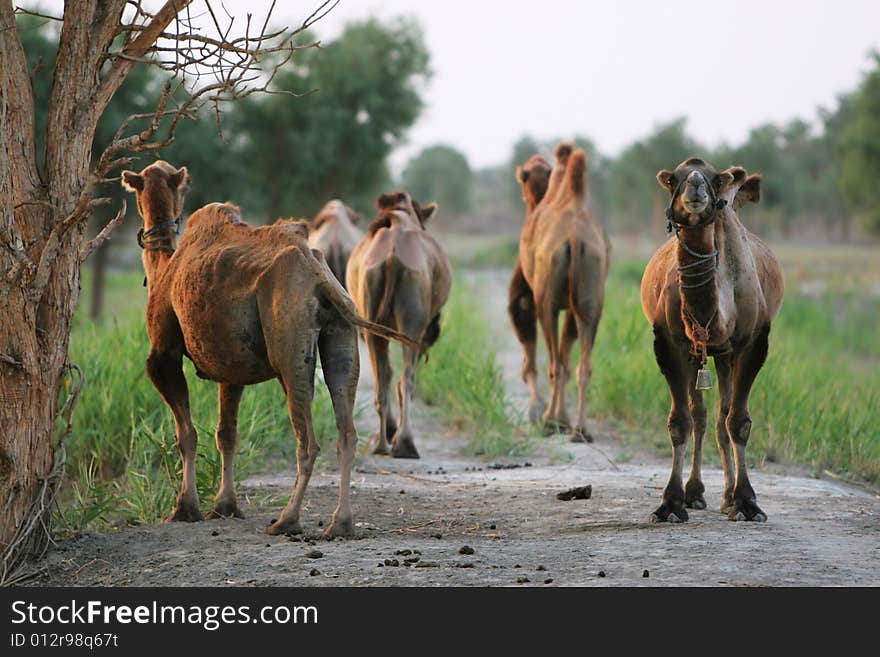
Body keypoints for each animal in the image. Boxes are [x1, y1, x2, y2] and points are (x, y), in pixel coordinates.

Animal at [120, 160, 420, 540]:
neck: (164, 268)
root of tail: (317, 275)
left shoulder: (163, 355)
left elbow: (186, 433)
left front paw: (185, 509)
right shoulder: (229, 366)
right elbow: (226, 433)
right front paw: (225, 506)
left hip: (288, 341)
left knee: (307, 440)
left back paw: (286, 520)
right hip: (342, 331)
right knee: (346, 431)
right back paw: (340, 523)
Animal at [348, 190, 450, 456]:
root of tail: (392, 255)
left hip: (371, 315)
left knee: (383, 379)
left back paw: (383, 444)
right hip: (413, 320)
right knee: (406, 378)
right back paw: (404, 443)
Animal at [516, 144, 612, 440]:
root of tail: (574, 238)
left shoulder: (545, 299)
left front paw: (556, 419)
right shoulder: (572, 306)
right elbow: (569, 357)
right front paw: (565, 420)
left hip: (546, 299)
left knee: (554, 363)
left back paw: (549, 420)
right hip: (591, 294)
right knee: (583, 365)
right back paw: (580, 428)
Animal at [640, 156, 784, 520]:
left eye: (716, 179)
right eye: (672, 179)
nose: (694, 184)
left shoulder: (754, 341)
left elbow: (739, 422)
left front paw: (747, 502)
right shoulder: (668, 343)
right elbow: (680, 421)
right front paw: (670, 503)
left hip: (724, 355)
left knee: (722, 416)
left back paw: (729, 497)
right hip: (704, 354)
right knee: (703, 415)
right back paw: (696, 493)